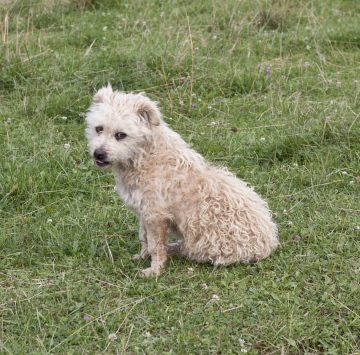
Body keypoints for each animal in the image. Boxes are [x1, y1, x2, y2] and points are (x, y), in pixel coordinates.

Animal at [86, 85, 280, 276]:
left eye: (121, 135)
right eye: (99, 129)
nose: (99, 154)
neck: (146, 156)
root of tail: (269, 243)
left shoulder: (155, 216)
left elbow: (155, 245)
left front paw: (154, 270)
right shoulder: (144, 212)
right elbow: (144, 238)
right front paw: (143, 257)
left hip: (203, 244)